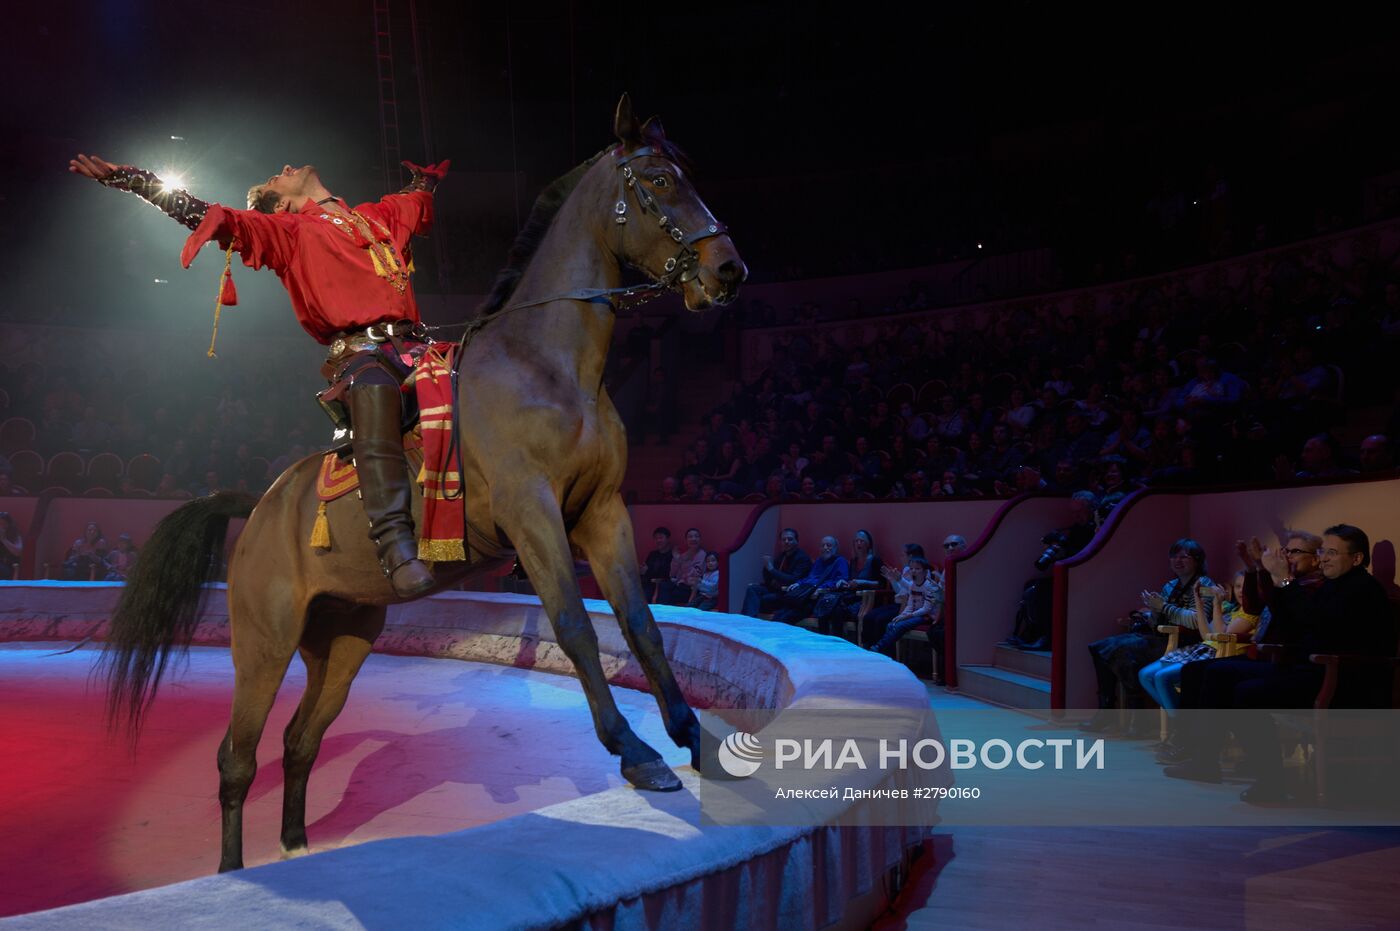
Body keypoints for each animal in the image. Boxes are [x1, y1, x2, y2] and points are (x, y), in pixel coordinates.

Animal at [101, 98, 744, 873]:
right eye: (657, 181)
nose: (728, 269)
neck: (546, 366)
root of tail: (259, 508)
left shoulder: (601, 511)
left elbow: (642, 625)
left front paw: (691, 735)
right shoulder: (534, 514)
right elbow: (575, 628)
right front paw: (635, 750)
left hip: (342, 637)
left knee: (298, 742)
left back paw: (297, 845)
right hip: (262, 642)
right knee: (237, 758)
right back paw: (231, 875)